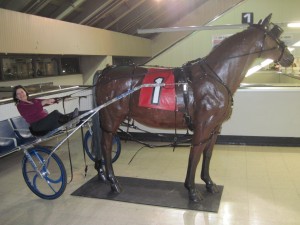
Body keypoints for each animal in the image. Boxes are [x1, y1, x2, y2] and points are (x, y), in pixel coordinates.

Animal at [95, 14, 294, 202]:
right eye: (274, 37)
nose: (290, 58)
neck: (215, 77)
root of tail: (107, 72)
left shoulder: (215, 128)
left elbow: (207, 155)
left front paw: (209, 183)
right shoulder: (203, 126)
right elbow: (195, 155)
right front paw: (192, 190)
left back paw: (102, 174)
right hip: (111, 118)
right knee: (105, 145)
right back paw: (113, 181)